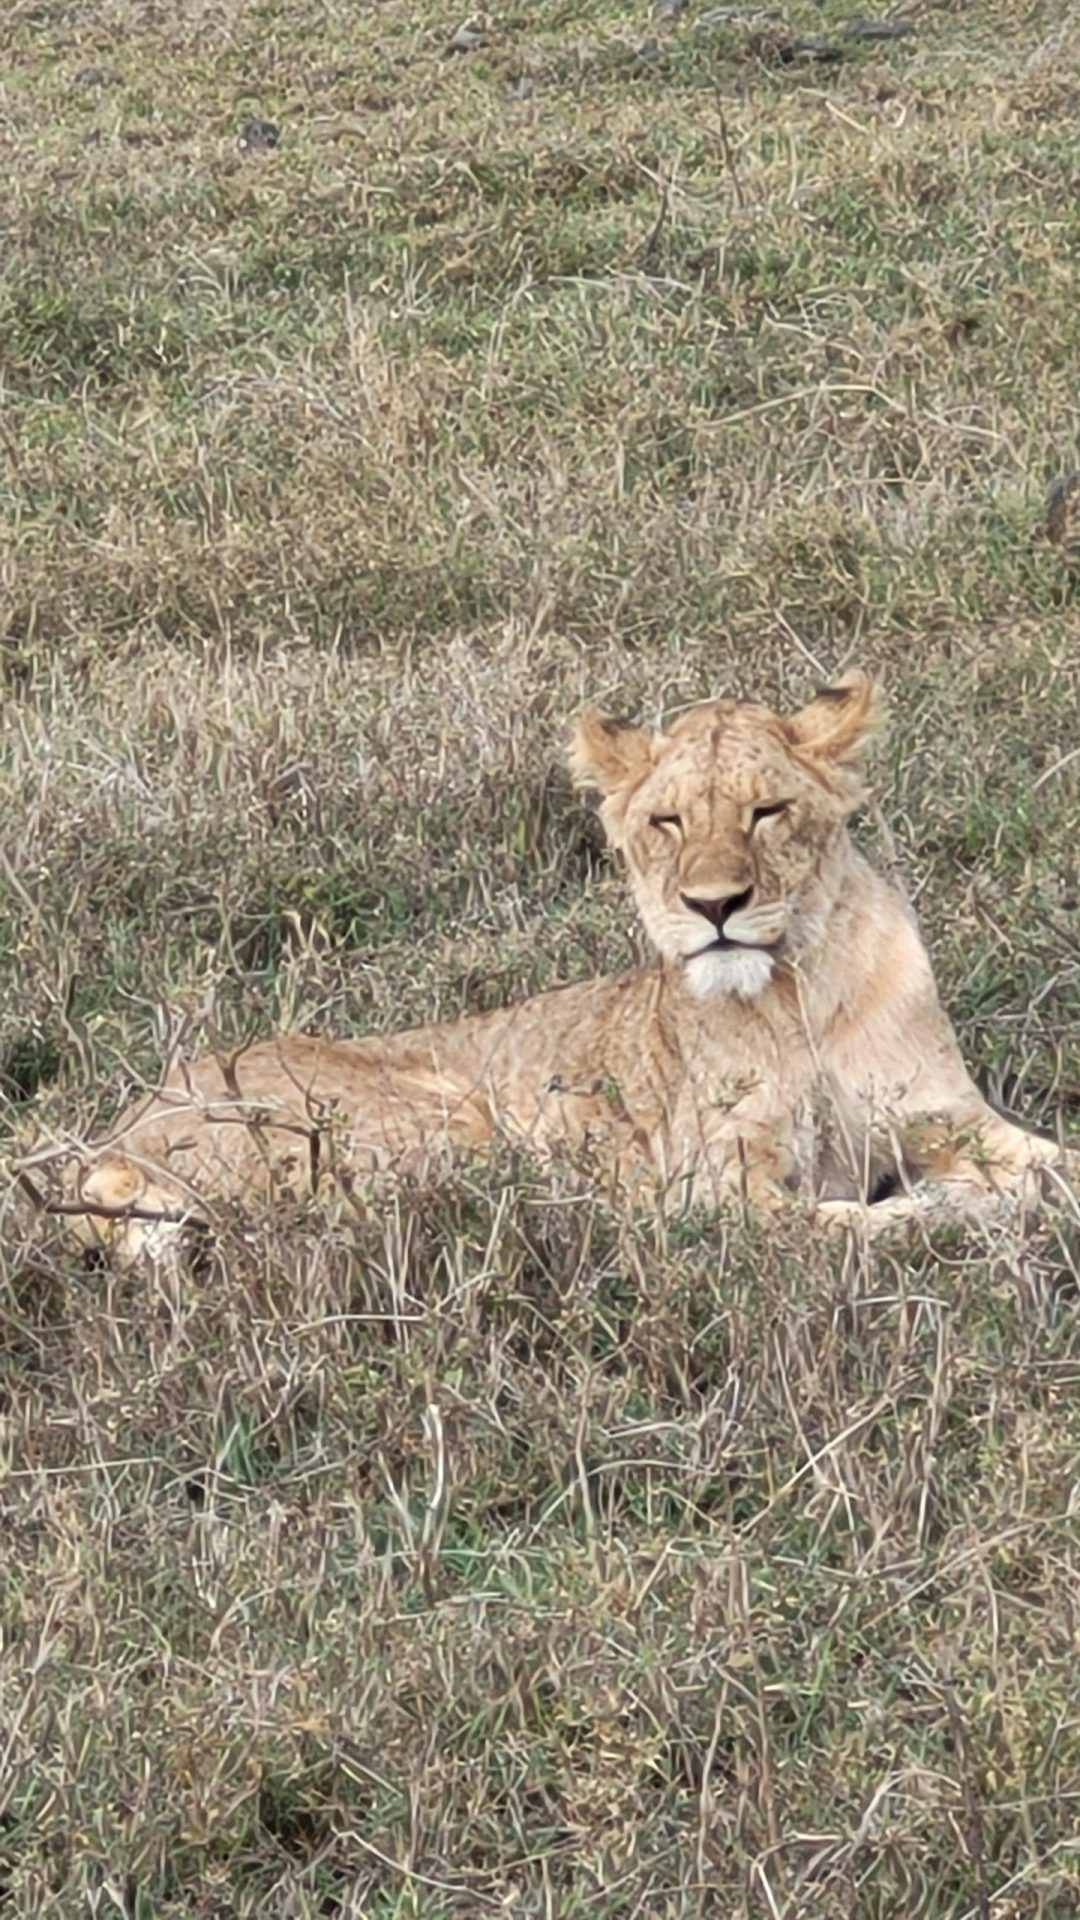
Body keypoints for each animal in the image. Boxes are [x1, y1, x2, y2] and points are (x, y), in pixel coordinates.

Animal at [37, 670, 1073, 1264]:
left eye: (767, 811)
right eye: (667, 822)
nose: (715, 908)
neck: (795, 997)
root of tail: (114, 1136)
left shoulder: (952, 1117)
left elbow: (1050, 1161)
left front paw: (1021, 1192)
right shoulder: (710, 1186)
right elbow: (840, 1223)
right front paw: (968, 1210)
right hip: (436, 1126)